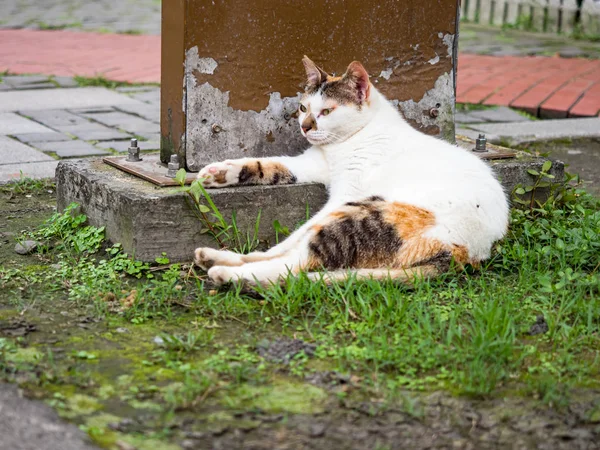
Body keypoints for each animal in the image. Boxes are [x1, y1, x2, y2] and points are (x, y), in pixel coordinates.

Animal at [195, 55, 508, 284]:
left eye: (326, 112)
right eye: (303, 108)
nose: (304, 127)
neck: (344, 144)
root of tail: (471, 253)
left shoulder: (345, 193)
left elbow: (300, 233)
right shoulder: (308, 164)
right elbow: (267, 164)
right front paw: (218, 173)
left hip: (364, 213)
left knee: (296, 263)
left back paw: (228, 273)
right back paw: (219, 257)